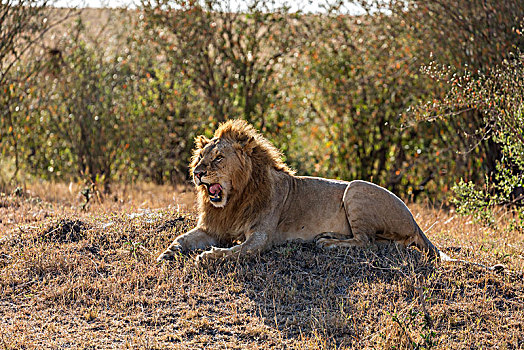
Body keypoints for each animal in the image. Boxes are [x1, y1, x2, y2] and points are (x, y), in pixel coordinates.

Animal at [157, 119, 458, 264]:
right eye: (200, 158)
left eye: (218, 158)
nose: (197, 173)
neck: (235, 199)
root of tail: (415, 221)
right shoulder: (213, 228)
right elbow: (182, 238)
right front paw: (168, 253)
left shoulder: (260, 238)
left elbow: (236, 251)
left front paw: (207, 257)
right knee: (383, 242)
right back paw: (328, 237)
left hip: (356, 189)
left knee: (367, 242)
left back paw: (328, 243)